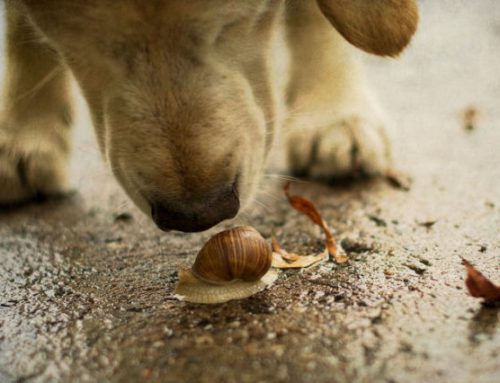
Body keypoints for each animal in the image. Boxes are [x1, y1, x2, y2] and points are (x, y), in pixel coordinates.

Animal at [0, 0, 418, 232]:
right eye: (85, 45)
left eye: (231, 24)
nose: (198, 216)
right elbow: (20, 25)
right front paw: (23, 132)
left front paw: (335, 115)